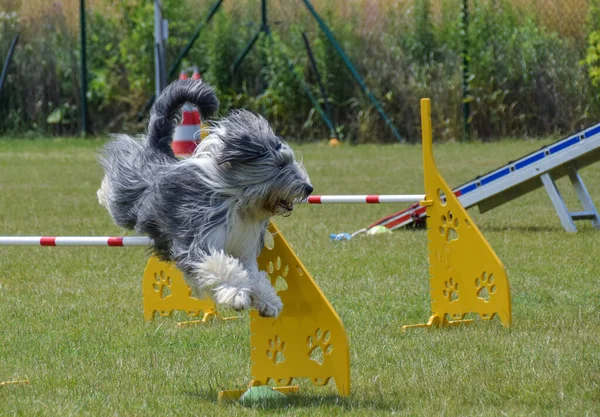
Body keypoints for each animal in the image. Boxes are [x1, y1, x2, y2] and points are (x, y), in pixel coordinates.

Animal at [97, 79, 314, 316]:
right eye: (280, 164)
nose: (308, 188)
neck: (237, 202)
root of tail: (159, 153)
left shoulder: (243, 246)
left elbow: (252, 274)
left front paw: (268, 301)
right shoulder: (198, 238)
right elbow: (220, 265)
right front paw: (237, 294)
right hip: (129, 195)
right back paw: (104, 190)